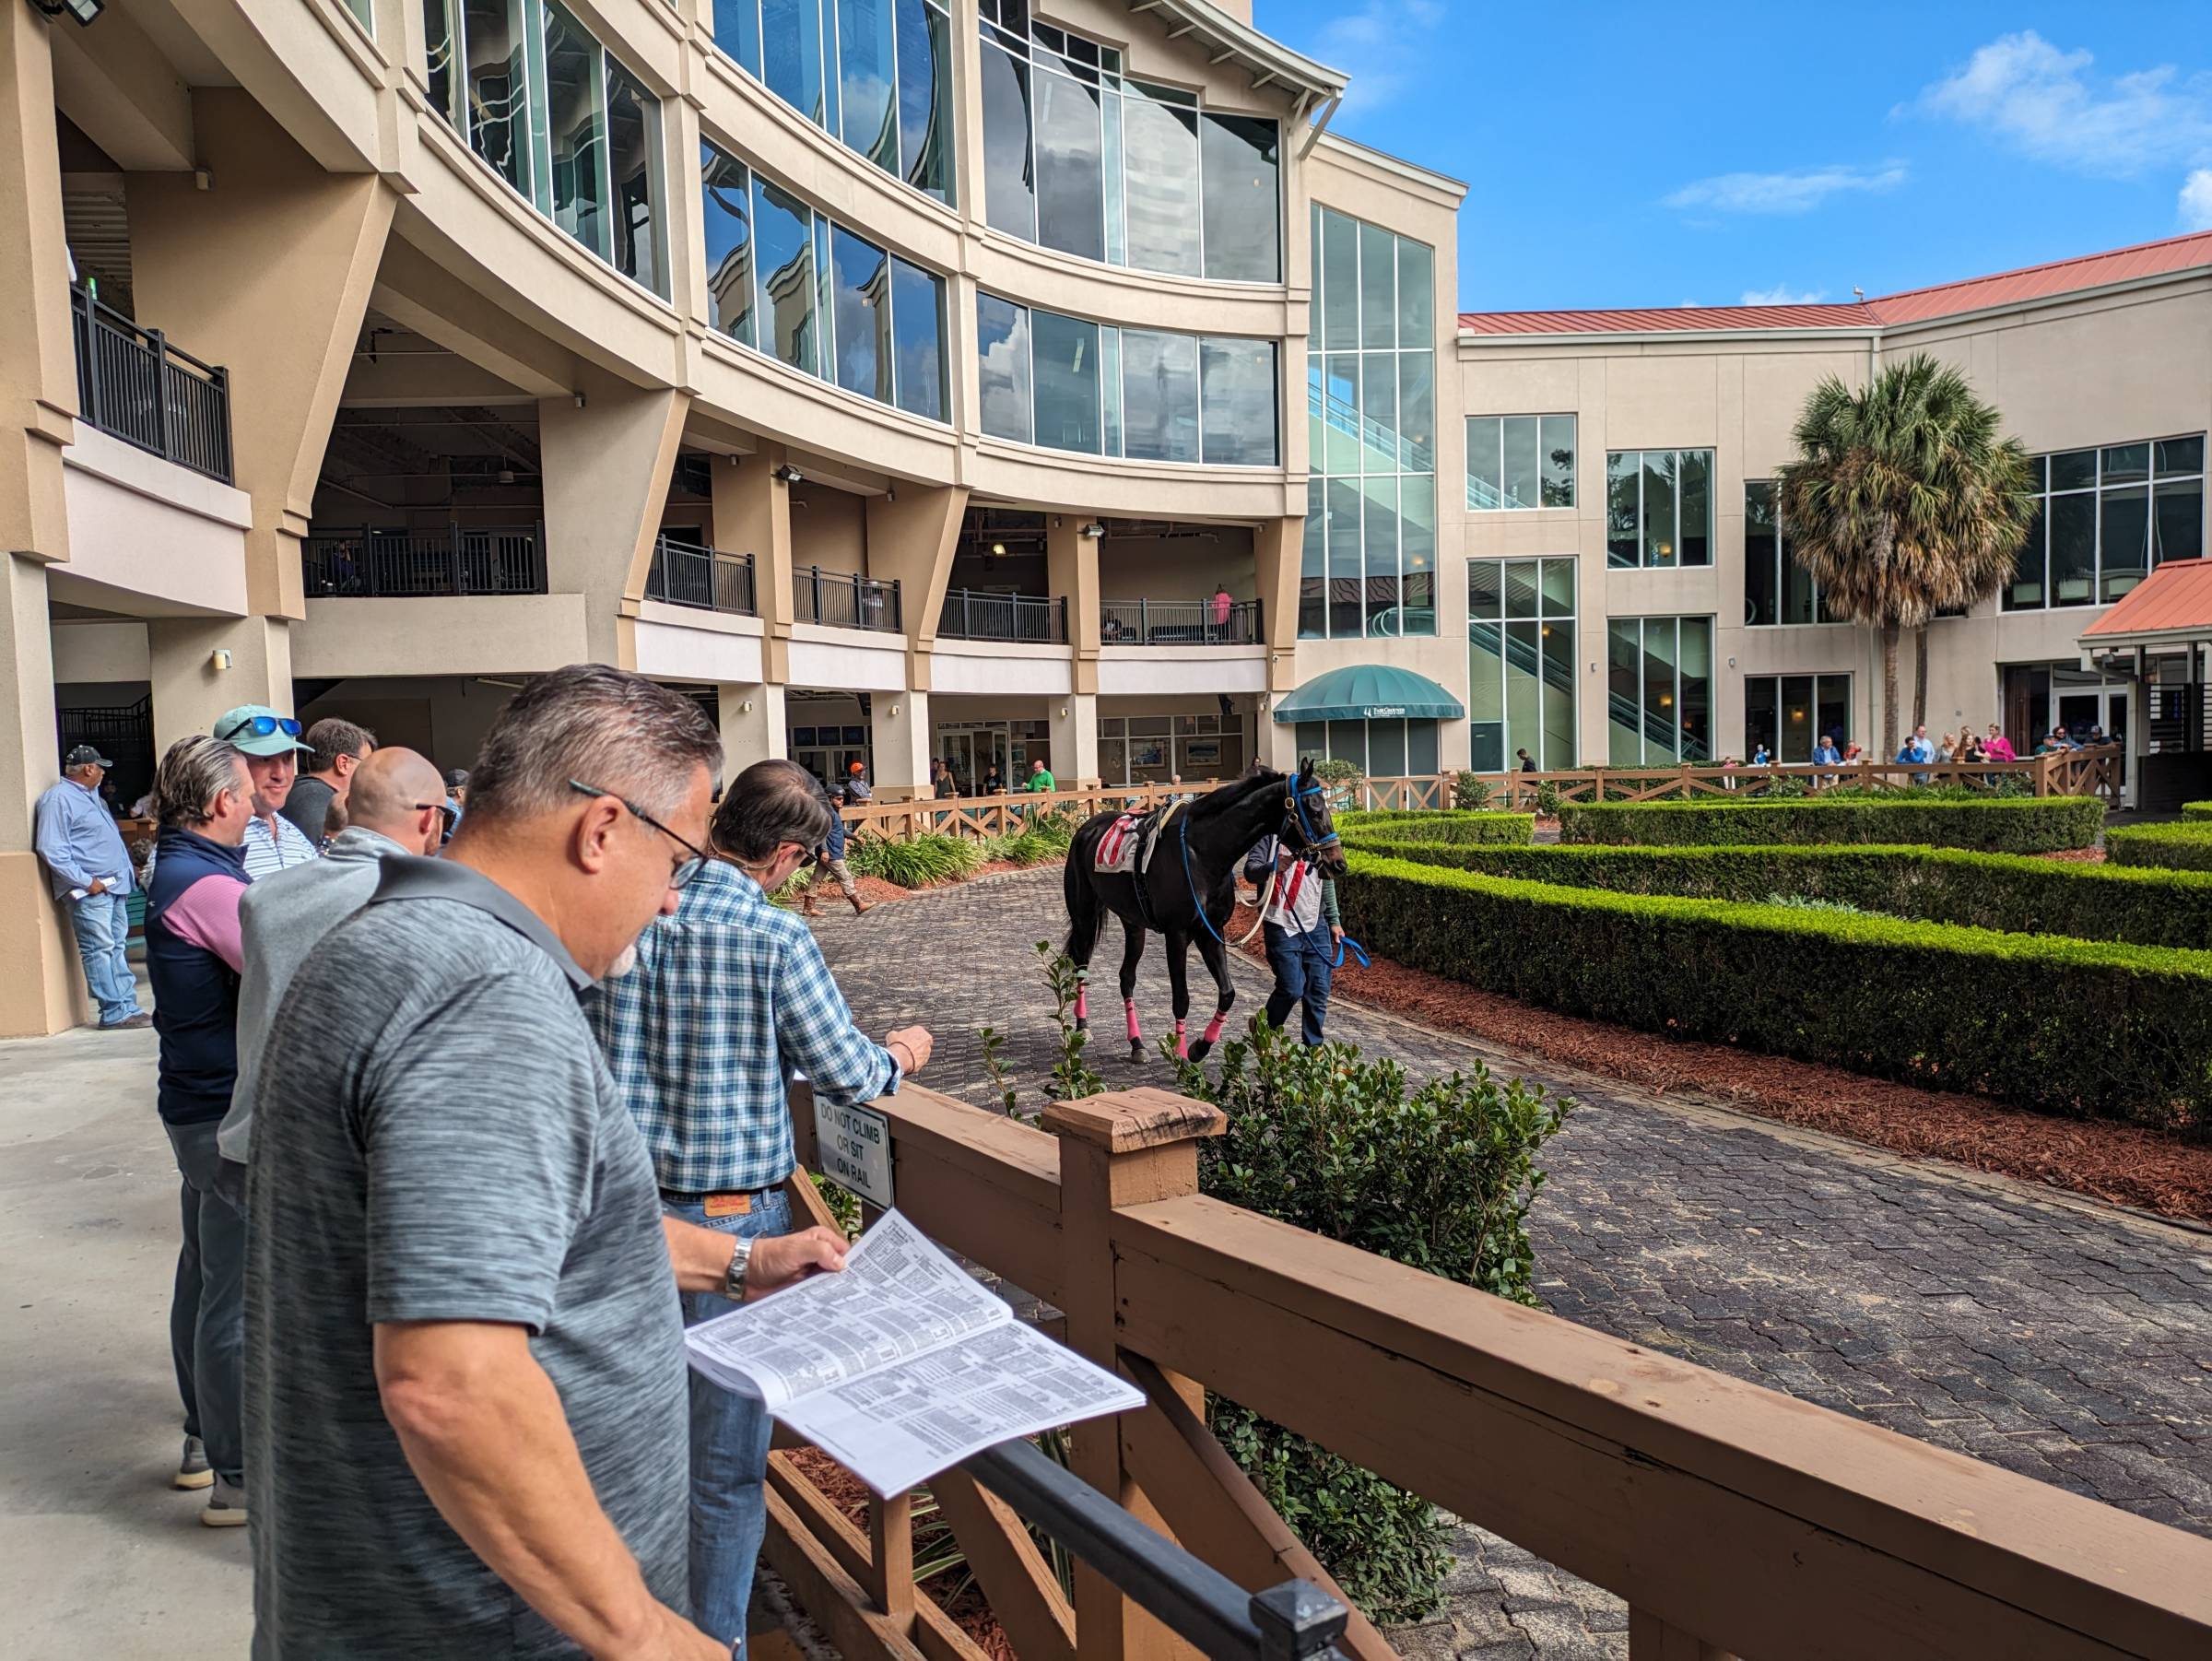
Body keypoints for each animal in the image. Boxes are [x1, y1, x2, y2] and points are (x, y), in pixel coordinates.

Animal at [1057, 765, 1345, 1066]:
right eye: (1314, 810)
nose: (1338, 863)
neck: (1204, 852)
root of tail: (1086, 829)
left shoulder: (1211, 931)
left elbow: (1228, 993)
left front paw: (1200, 1047)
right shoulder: (1177, 934)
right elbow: (1182, 998)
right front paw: (1181, 1053)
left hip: (1133, 923)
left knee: (1127, 977)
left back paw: (1137, 1043)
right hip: (1084, 915)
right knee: (1080, 964)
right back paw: (1082, 1027)